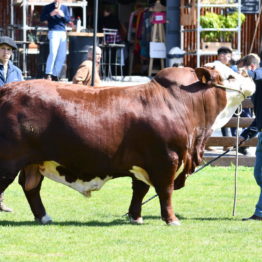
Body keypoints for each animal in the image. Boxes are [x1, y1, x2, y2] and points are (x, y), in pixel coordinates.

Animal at [0, 63, 255, 225]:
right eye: (230, 76)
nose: (252, 78)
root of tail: (8, 89)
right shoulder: (166, 159)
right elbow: (165, 190)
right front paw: (171, 219)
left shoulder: (144, 162)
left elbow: (140, 190)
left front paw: (136, 217)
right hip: (9, 161)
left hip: (33, 162)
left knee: (31, 186)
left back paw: (44, 217)